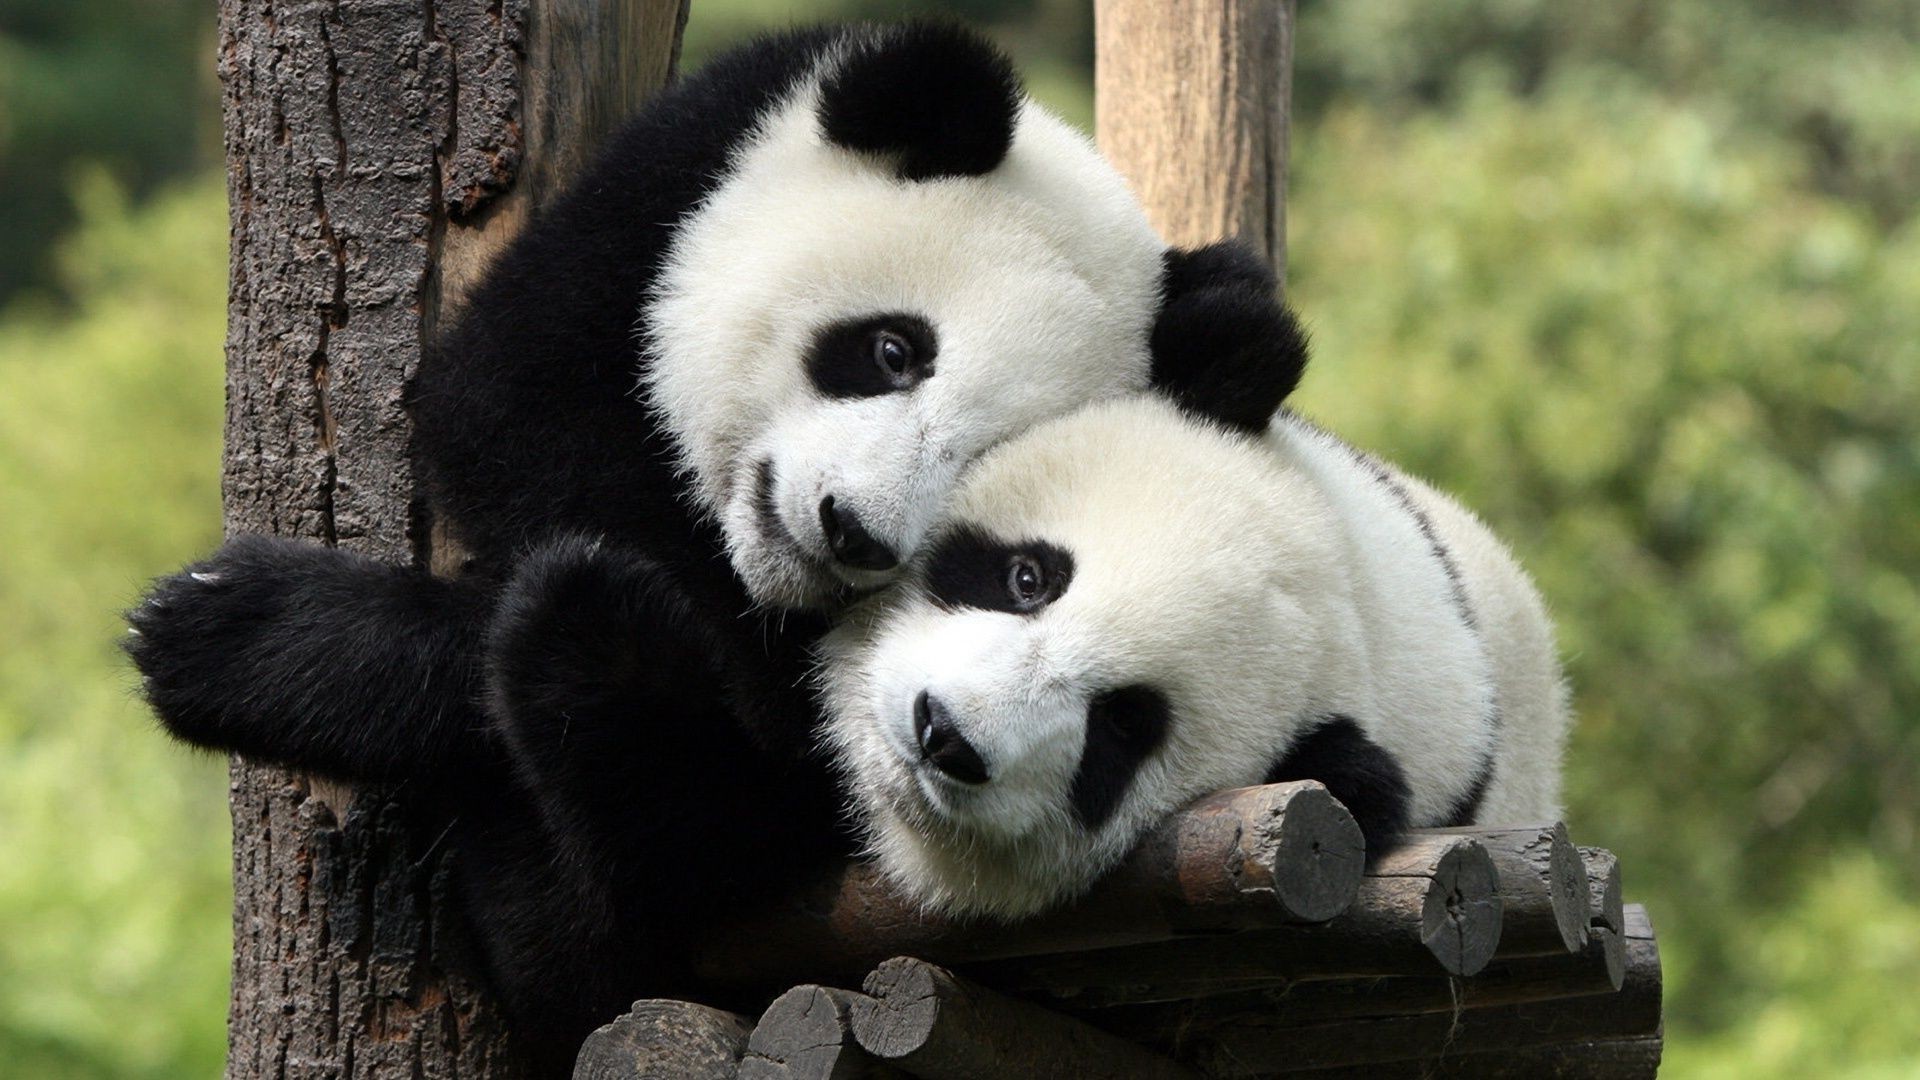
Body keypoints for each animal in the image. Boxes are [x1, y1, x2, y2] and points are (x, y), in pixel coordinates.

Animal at [116, 16, 1290, 1068]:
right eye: (893, 350)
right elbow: (505, 412)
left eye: (983, 462)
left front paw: (239, 636)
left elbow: (747, 771)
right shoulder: (663, 197)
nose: (853, 532)